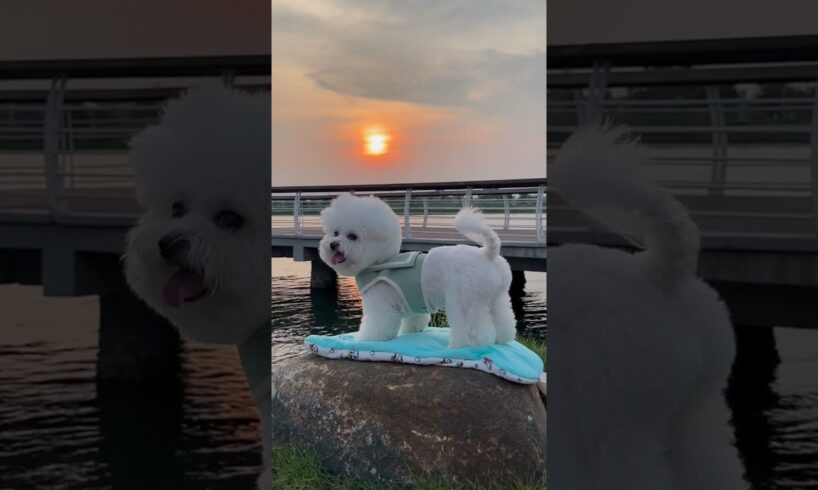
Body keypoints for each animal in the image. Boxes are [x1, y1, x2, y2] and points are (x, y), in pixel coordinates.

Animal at [316, 193, 512, 350]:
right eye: (335, 233)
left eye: (352, 237)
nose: (333, 245)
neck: (379, 261)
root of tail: (488, 254)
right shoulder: (413, 302)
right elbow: (414, 319)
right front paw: (413, 331)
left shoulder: (380, 303)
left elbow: (377, 326)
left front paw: (366, 341)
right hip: (497, 299)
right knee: (503, 321)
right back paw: (501, 339)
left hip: (464, 300)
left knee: (472, 330)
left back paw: (464, 346)